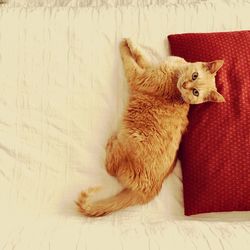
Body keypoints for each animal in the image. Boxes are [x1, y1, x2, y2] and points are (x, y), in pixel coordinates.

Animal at [76, 38, 225, 216]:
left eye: (196, 92)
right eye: (194, 76)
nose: (186, 85)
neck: (175, 77)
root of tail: (151, 190)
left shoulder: (139, 77)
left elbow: (130, 60)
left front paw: (124, 45)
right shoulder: (150, 68)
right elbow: (141, 57)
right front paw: (131, 44)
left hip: (127, 140)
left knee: (110, 168)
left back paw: (111, 141)